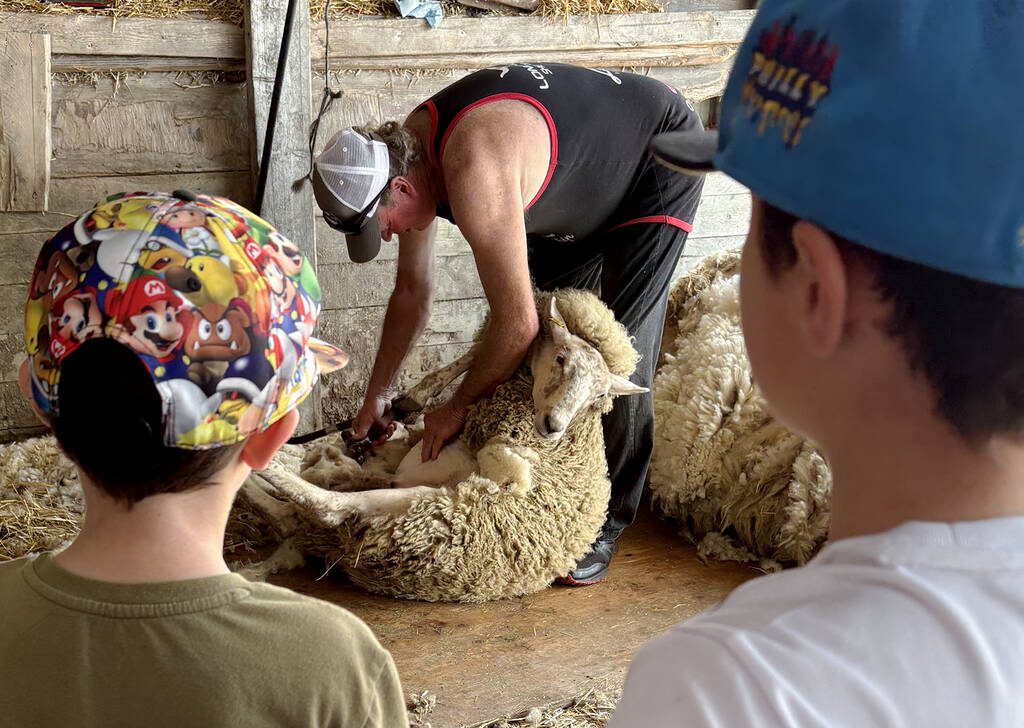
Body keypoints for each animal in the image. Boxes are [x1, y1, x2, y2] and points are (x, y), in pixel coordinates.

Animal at [242, 289, 646, 602]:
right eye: (561, 358)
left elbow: (504, 461)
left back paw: (266, 472)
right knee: (297, 501)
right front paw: (416, 397)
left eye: (599, 395)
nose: (553, 427)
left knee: (325, 506)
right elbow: (479, 358)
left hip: (418, 506)